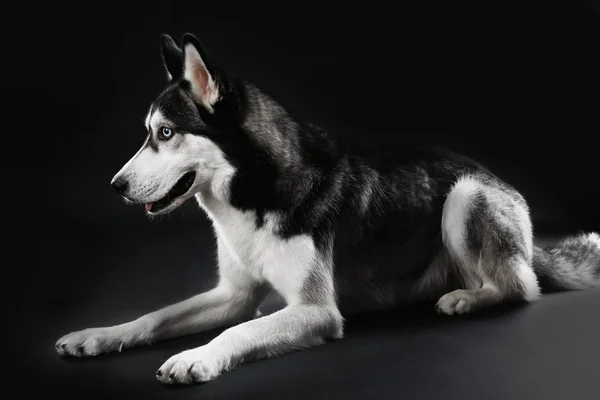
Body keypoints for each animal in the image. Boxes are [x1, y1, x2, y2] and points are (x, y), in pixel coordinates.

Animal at [54, 33, 596, 384]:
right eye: (149, 132)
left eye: (166, 133)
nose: (116, 186)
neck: (255, 192)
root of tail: (505, 186)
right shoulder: (232, 294)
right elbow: (156, 316)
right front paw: (98, 336)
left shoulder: (314, 311)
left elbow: (240, 330)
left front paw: (198, 357)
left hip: (465, 197)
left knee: (522, 287)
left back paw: (466, 298)